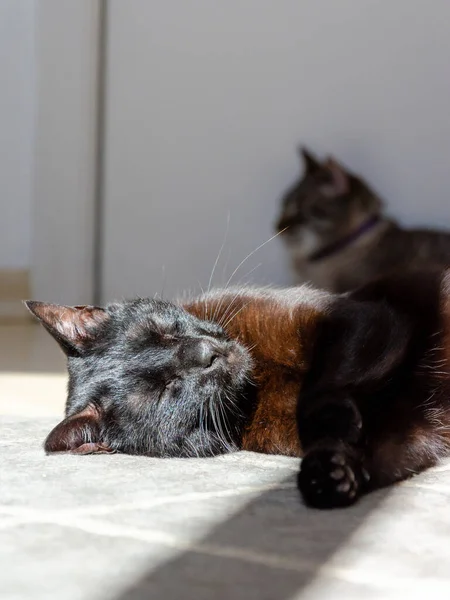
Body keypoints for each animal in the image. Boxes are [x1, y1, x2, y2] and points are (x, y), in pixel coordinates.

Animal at [25, 270, 450, 508]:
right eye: (165, 390)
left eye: (160, 331)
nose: (205, 354)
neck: (257, 387)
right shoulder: (413, 435)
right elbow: (385, 453)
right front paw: (330, 476)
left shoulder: (362, 318)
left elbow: (328, 384)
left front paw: (340, 430)